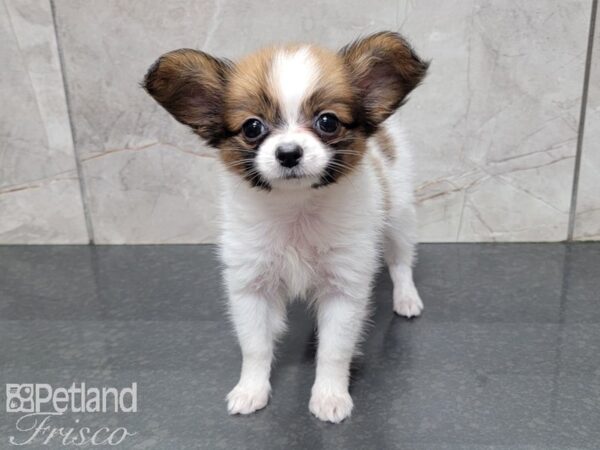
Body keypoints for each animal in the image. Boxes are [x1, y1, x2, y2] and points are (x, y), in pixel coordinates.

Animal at [144, 31, 428, 423]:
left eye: (327, 122)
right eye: (252, 127)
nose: (289, 153)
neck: (295, 208)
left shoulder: (344, 287)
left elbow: (333, 351)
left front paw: (329, 396)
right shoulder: (250, 285)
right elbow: (255, 347)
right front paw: (250, 389)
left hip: (398, 214)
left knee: (400, 261)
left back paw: (406, 298)